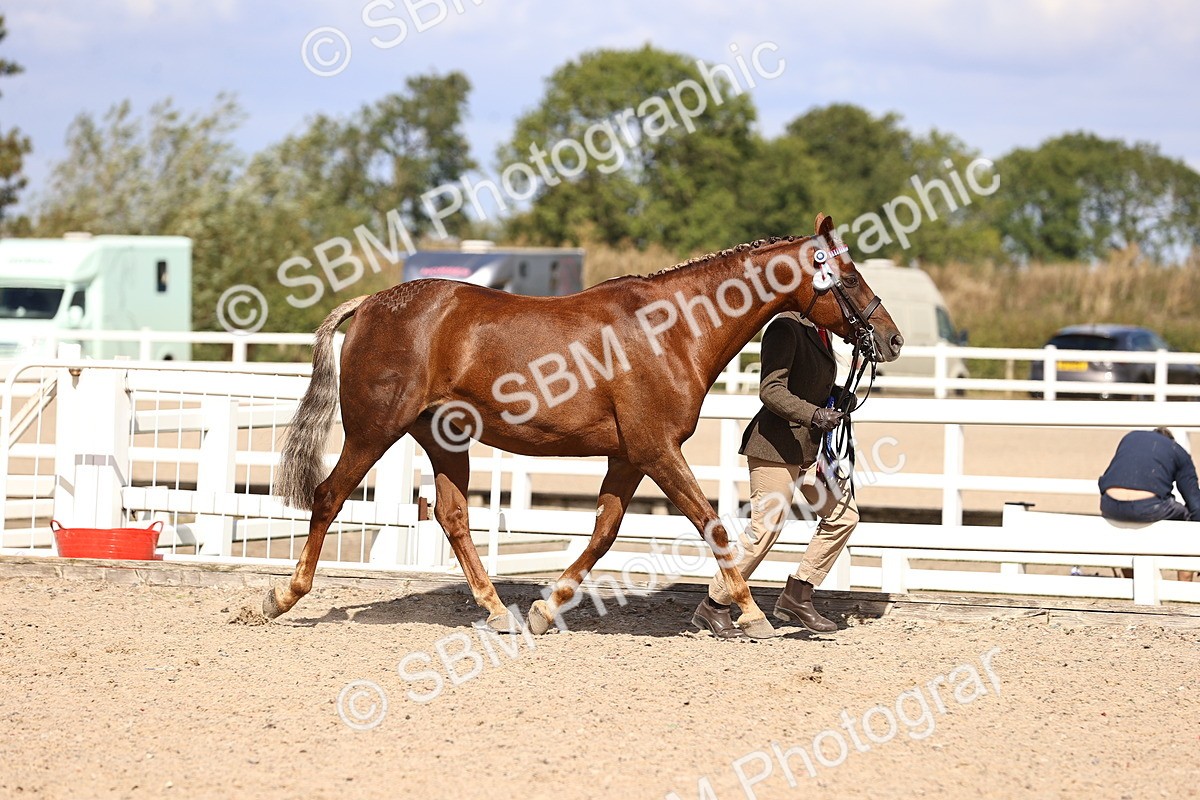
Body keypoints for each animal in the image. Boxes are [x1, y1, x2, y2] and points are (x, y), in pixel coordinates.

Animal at [266, 213, 903, 638]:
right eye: (848, 275)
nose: (892, 339)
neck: (673, 327)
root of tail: (371, 304)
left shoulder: (629, 456)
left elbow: (604, 532)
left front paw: (546, 610)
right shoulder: (657, 450)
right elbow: (714, 525)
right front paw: (749, 614)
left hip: (443, 439)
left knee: (452, 516)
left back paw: (497, 611)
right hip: (373, 431)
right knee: (328, 496)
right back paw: (282, 596)